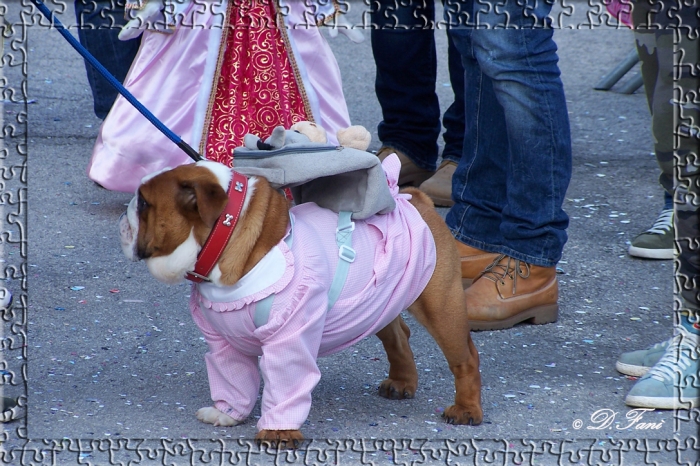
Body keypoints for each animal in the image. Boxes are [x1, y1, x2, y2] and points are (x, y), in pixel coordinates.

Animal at [120, 157, 482, 448]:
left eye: (144, 204)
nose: (124, 216)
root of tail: (412, 198)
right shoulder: (222, 343)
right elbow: (233, 380)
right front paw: (228, 413)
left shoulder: (289, 339)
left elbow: (286, 385)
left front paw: (278, 432)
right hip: (382, 302)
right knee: (397, 336)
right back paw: (402, 382)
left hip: (440, 305)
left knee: (465, 357)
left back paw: (466, 409)